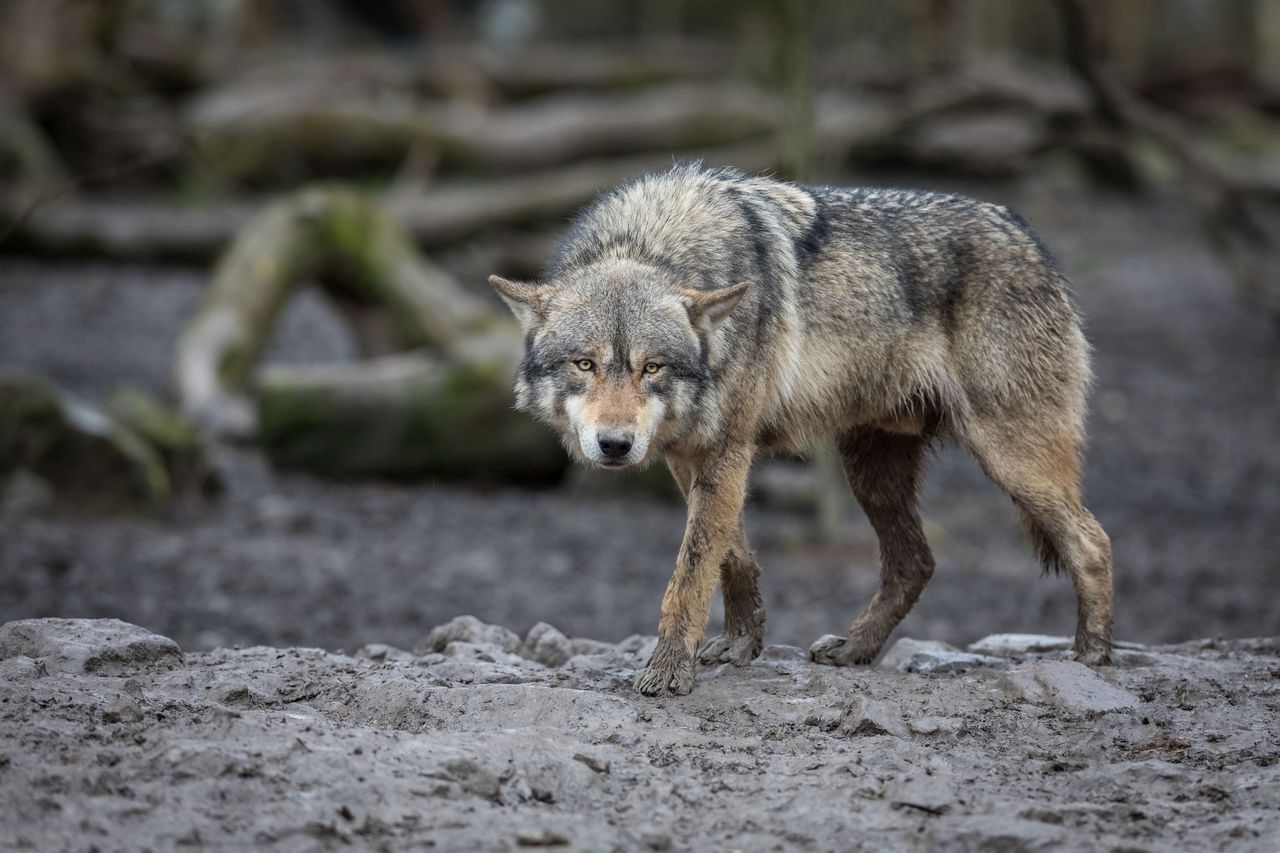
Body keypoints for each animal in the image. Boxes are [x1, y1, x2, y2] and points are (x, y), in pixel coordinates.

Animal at [488, 162, 1111, 696]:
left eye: (652, 368)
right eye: (585, 364)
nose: (615, 445)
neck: (654, 240)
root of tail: (1027, 233)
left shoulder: (728, 447)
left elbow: (691, 571)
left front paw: (668, 672)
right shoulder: (691, 455)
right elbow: (732, 554)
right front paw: (742, 644)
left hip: (1010, 459)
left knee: (1092, 540)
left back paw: (1091, 658)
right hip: (870, 469)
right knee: (917, 562)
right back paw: (855, 651)